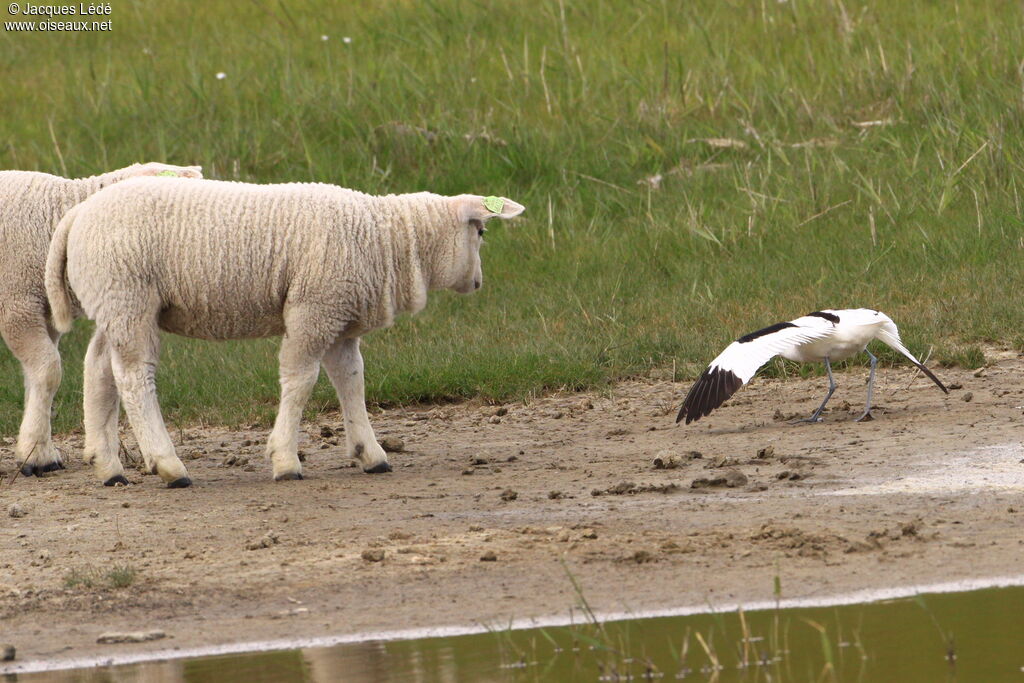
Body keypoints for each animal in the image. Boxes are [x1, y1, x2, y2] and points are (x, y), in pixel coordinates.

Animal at [0, 162, 201, 479]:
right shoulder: (16, 304)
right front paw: (36, 454)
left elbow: (35, 378)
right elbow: (49, 371)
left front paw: (36, 451)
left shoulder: (45, 315)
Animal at [44, 176, 524, 485]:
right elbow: (301, 381)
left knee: (99, 370)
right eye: (481, 231)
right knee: (133, 376)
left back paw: (109, 467)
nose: (479, 282)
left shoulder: (339, 318)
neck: (389, 240)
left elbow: (352, 381)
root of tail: (75, 217)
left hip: (113, 302)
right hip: (128, 296)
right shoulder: (314, 309)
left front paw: (370, 454)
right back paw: (169, 467)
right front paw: (286, 460)